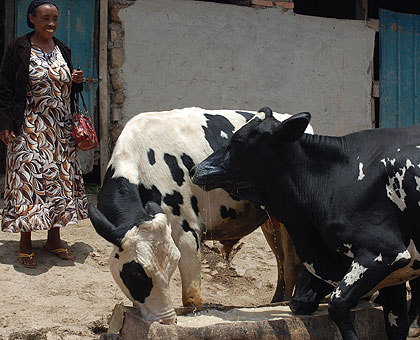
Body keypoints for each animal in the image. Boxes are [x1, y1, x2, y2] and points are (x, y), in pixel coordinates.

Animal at [88, 107, 312, 316]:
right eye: (137, 272)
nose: (163, 316)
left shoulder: (187, 231)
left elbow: (192, 298)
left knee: (291, 265)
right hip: (270, 220)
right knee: (281, 260)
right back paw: (275, 301)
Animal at [191, 108, 420, 340]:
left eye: (237, 140)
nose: (195, 169)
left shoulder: (384, 253)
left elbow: (337, 304)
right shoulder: (395, 278)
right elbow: (395, 326)